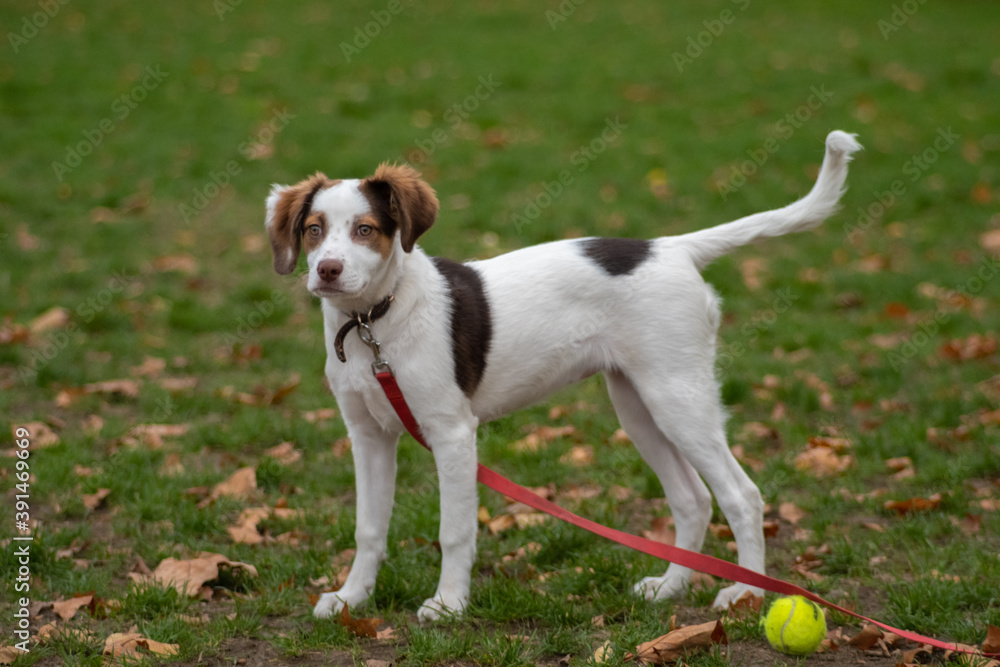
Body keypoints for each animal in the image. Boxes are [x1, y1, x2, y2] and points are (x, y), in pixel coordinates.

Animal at [264, 129, 860, 620]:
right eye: (314, 230)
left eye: (365, 230)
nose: (327, 271)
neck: (373, 323)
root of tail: (668, 247)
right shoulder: (368, 435)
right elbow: (368, 527)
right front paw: (351, 598)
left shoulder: (452, 435)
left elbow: (453, 530)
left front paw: (449, 605)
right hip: (638, 403)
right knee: (692, 499)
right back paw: (670, 587)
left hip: (679, 397)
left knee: (742, 494)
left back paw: (747, 593)